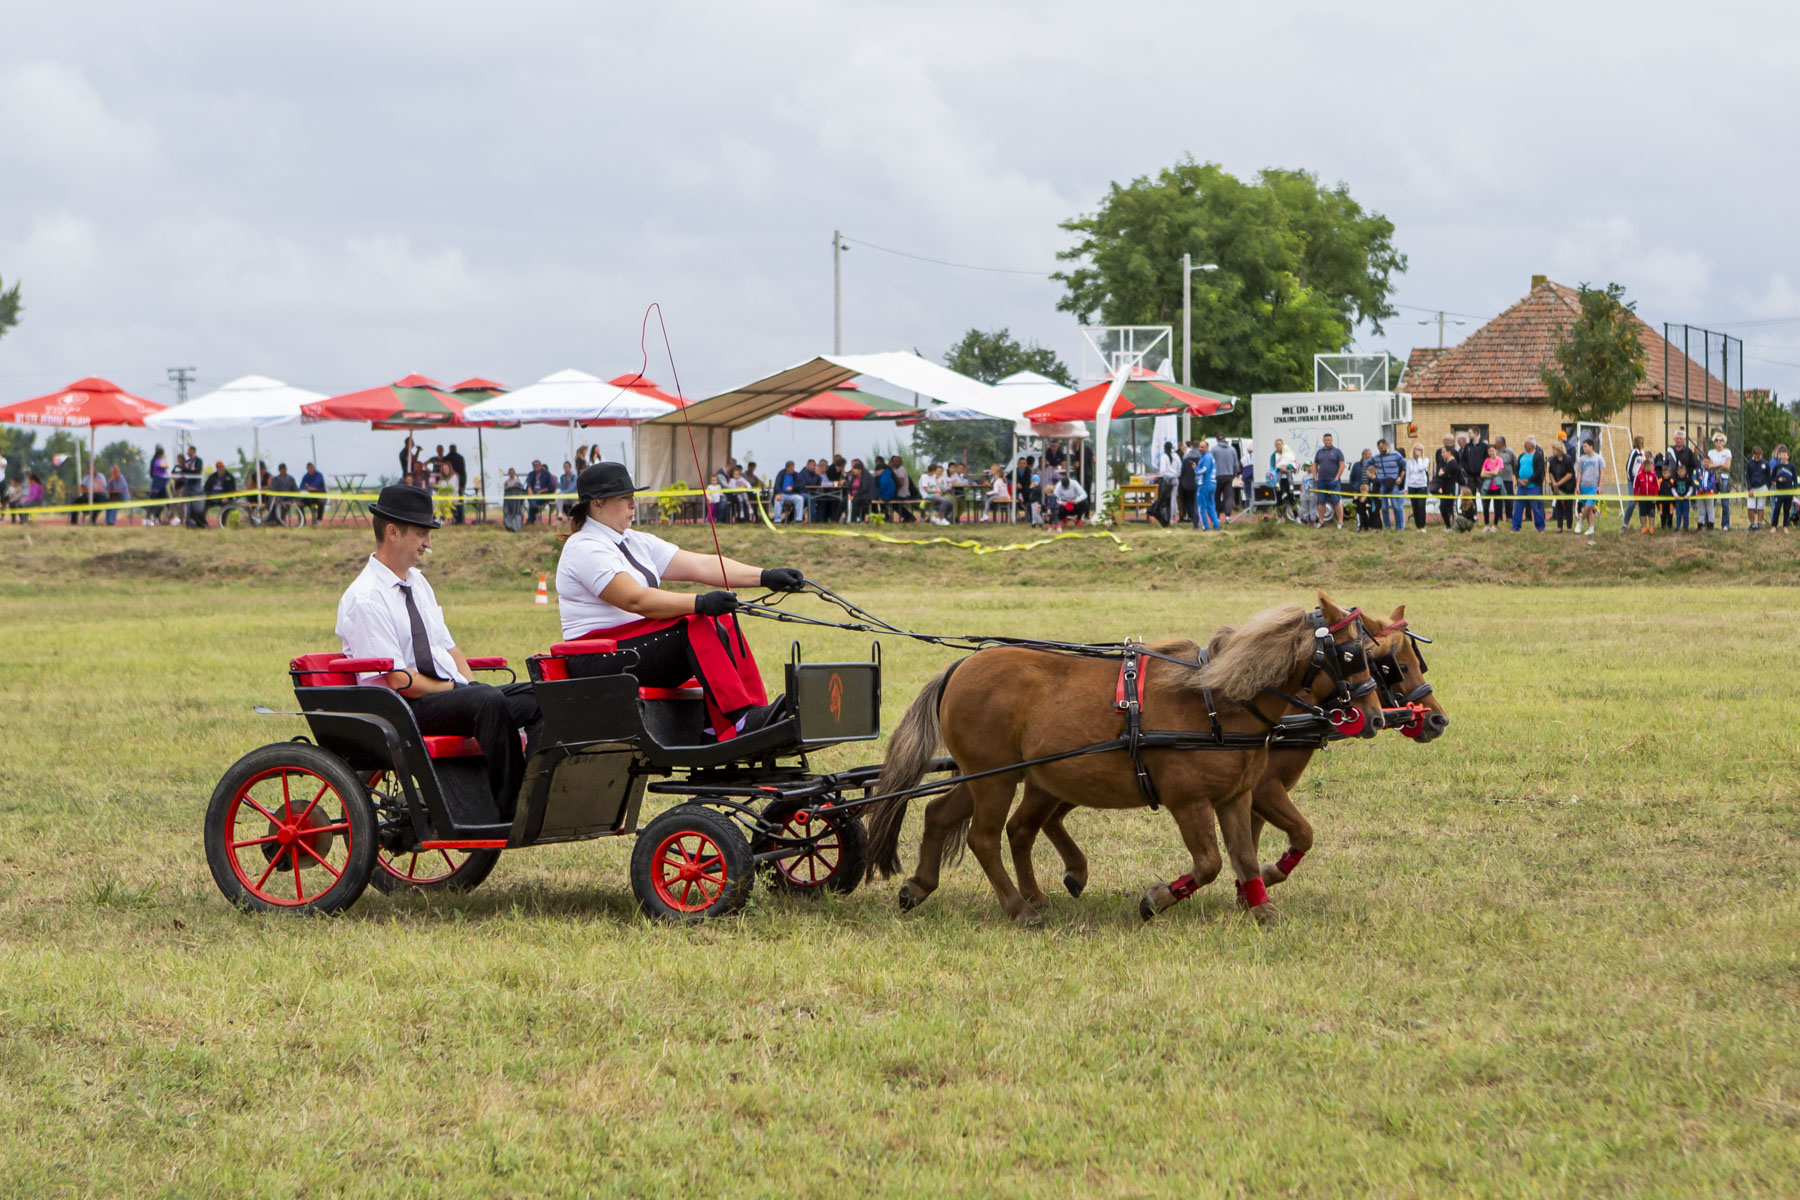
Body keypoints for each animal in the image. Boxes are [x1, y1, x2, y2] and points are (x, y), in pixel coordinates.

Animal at [864, 593, 1382, 928]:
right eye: (1352, 654)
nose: (1375, 717)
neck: (1216, 701)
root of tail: (958, 667)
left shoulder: (1235, 798)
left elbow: (1246, 857)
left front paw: (1261, 907)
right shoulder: (1189, 801)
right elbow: (1210, 863)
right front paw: (1156, 899)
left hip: (985, 776)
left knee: (941, 814)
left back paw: (920, 886)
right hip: (996, 780)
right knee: (984, 838)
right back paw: (1019, 908)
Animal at [1015, 604, 1447, 913]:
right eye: (1392, 665)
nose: (1437, 719)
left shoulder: (1246, 791)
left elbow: (1250, 844)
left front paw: (1248, 891)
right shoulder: (1265, 789)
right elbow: (1301, 833)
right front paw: (1258, 882)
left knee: (1039, 821)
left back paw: (1070, 875)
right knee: (1028, 824)